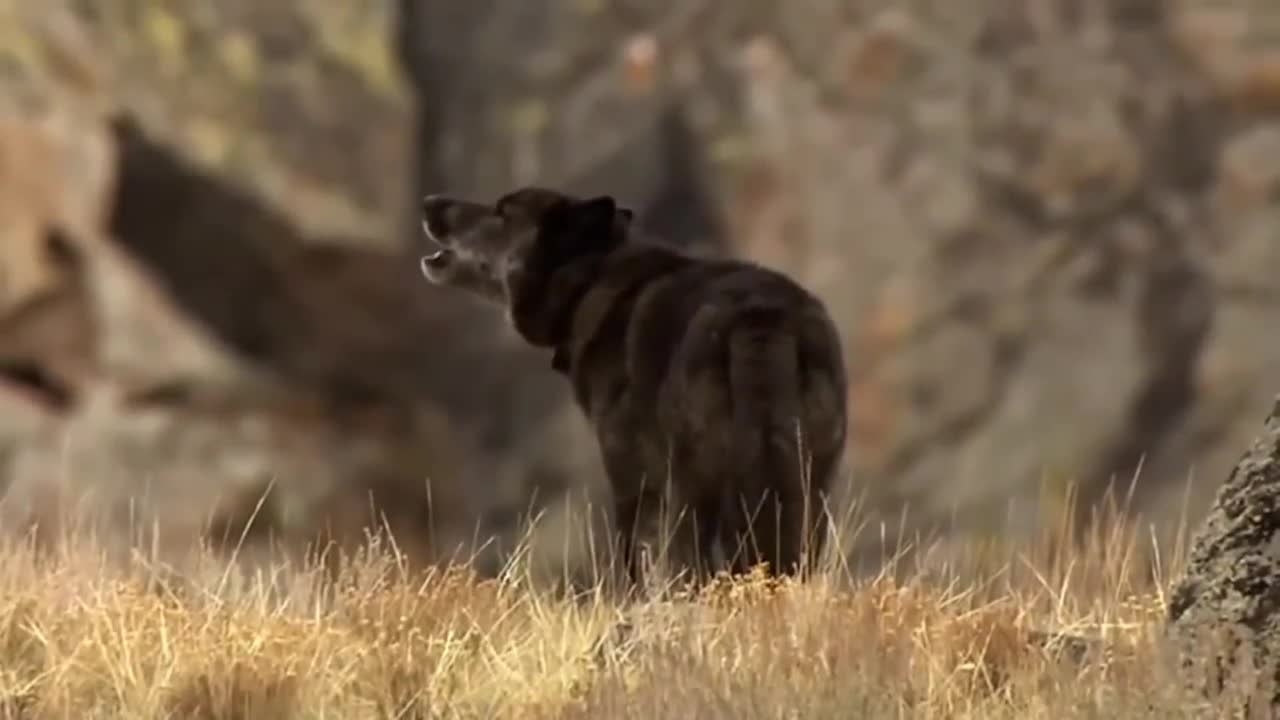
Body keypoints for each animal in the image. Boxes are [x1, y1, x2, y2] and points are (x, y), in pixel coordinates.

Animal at [419, 186, 848, 586]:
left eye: (502, 212)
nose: (429, 202)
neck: (587, 280)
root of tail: (759, 317)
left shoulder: (633, 483)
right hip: (808, 492)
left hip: (695, 494)